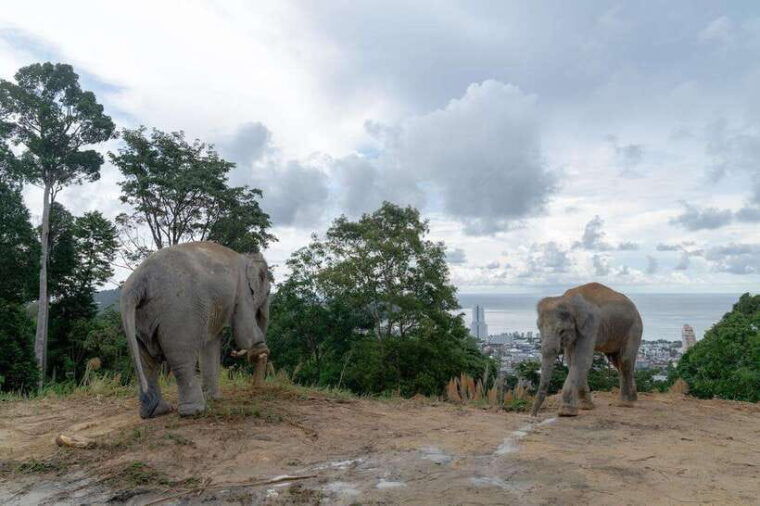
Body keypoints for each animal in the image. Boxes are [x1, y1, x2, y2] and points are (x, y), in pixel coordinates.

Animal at [121, 241, 270, 418]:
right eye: (268, 292)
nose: (257, 387)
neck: (247, 257)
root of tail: (138, 284)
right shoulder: (242, 291)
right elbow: (243, 329)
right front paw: (261, 351)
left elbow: (210, 344)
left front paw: (213, 398)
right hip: (179, 314)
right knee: (181, 360)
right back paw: (194, 411)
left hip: (140, 319)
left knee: (146, 361)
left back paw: (156, 412)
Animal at [530, 282, 642, 417]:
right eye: (539, 328)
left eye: (561, 330)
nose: (533, 414)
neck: (566, 298)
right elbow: (571, 360)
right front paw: (586, 407)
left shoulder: (590, 325)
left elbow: (581, 360)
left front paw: (566, 412)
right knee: (618, 362)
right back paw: (633, 398)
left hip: (634, 328)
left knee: (625, 361)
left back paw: (626, 403)